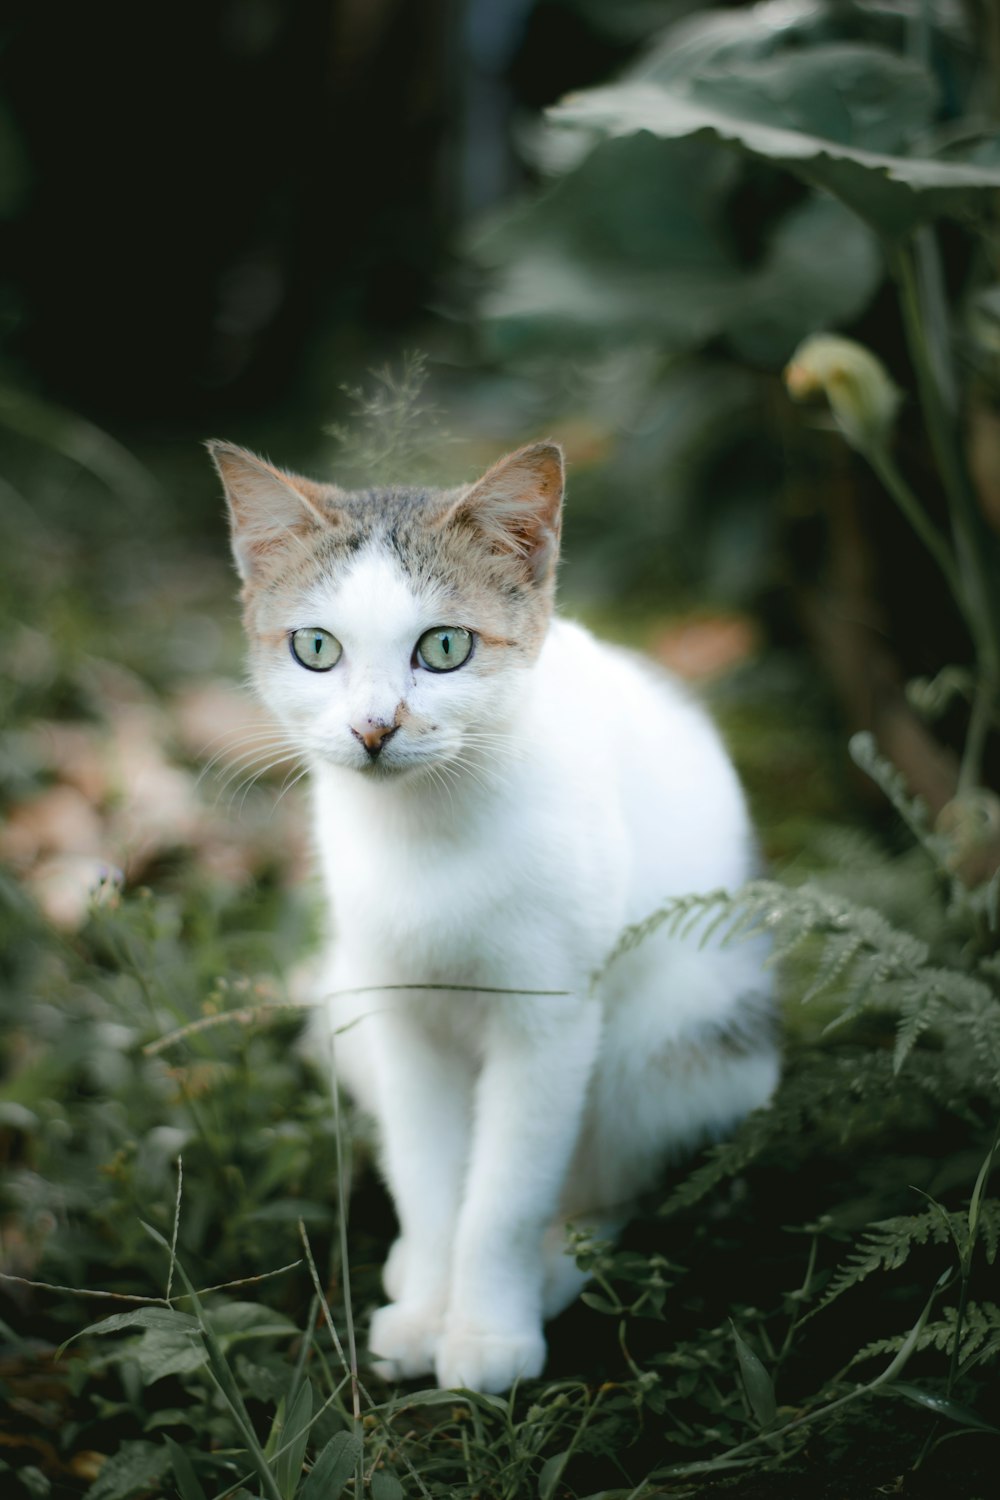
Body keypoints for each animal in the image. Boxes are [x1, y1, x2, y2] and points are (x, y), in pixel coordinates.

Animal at [211, 435, 779, 1392]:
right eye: (316, 648)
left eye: (444, 647)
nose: (373, 728)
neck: (426, 838)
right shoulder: (396, 1015)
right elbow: (430, 1180)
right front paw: (426, 1313)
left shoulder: (550, 1020)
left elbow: (506, 1196)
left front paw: (487, 1333)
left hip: (679, 1040)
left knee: (611, 1181)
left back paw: (559, 1266)